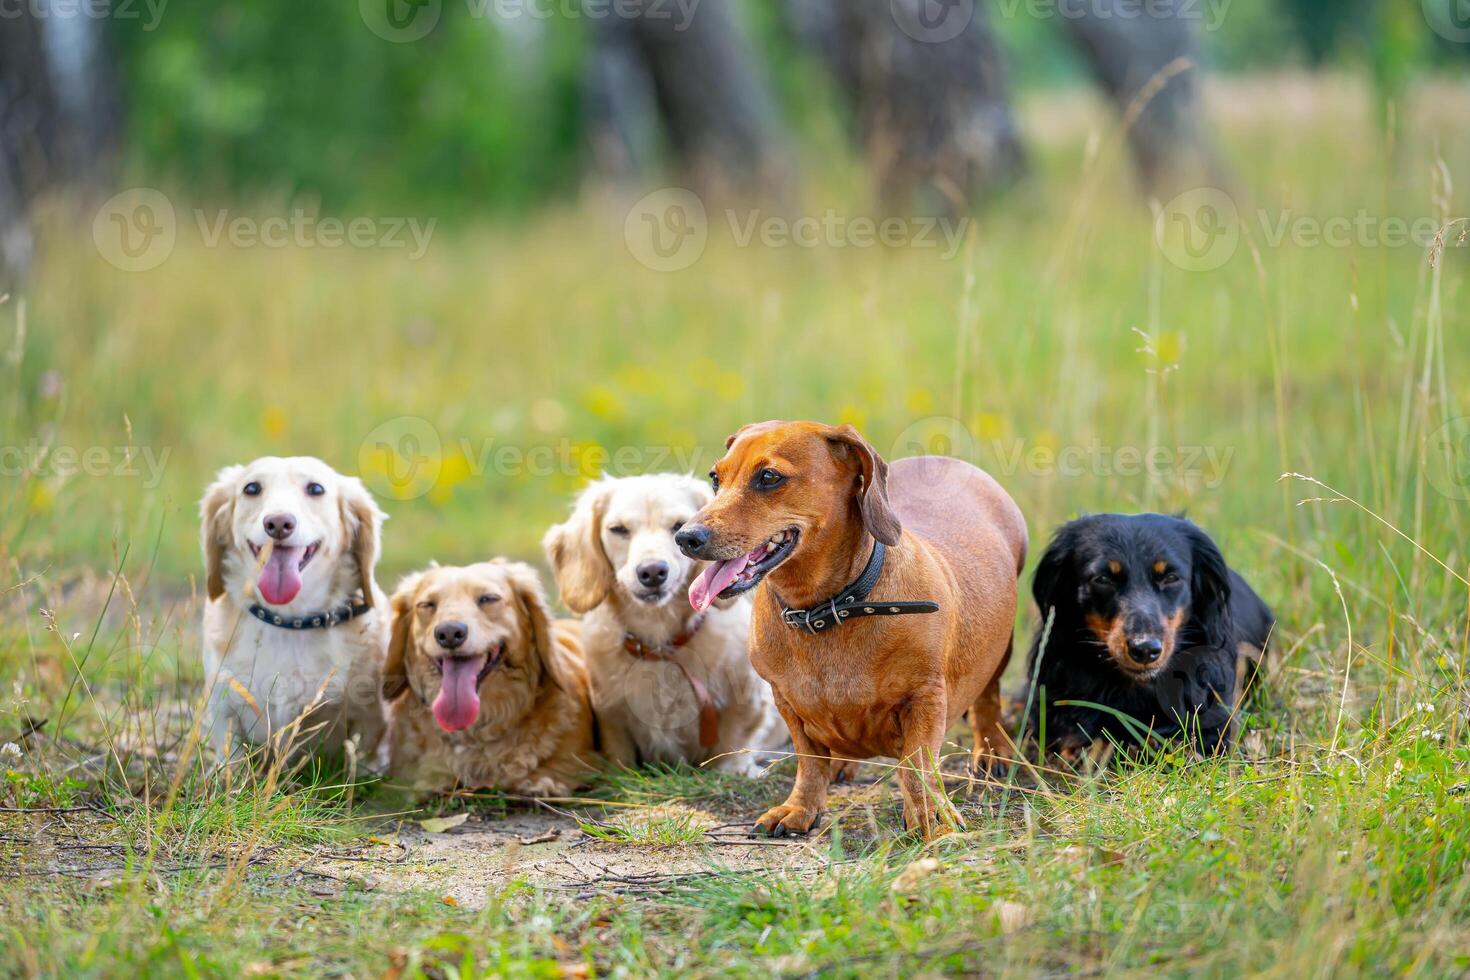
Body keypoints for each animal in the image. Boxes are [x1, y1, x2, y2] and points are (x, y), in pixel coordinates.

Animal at [198, 458, 391, 758]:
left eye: (316, 488)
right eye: (251, 488)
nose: (278, 523)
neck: (288, 621)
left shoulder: (368, 718)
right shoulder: (223, 706)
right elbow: (232, 756)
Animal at [546, 470, 787, 775]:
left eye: (679, 527)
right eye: (618, 529)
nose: (652, 572)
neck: (661, 645)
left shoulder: (747, 702)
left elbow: (731, 747)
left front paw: (733, 771)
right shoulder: (611, 717)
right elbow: (620, 755)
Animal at [673, 420, 1029, 834]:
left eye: (769, 477)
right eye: (716, 478)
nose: (685, 538)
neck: (827, 611)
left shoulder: (926, 698)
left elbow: (916, 765)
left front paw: (929, 815)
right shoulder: (786, 702)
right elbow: (810, 763)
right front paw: (800, 808)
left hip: (1000, 650)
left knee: (988, 698)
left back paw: (992, 751)